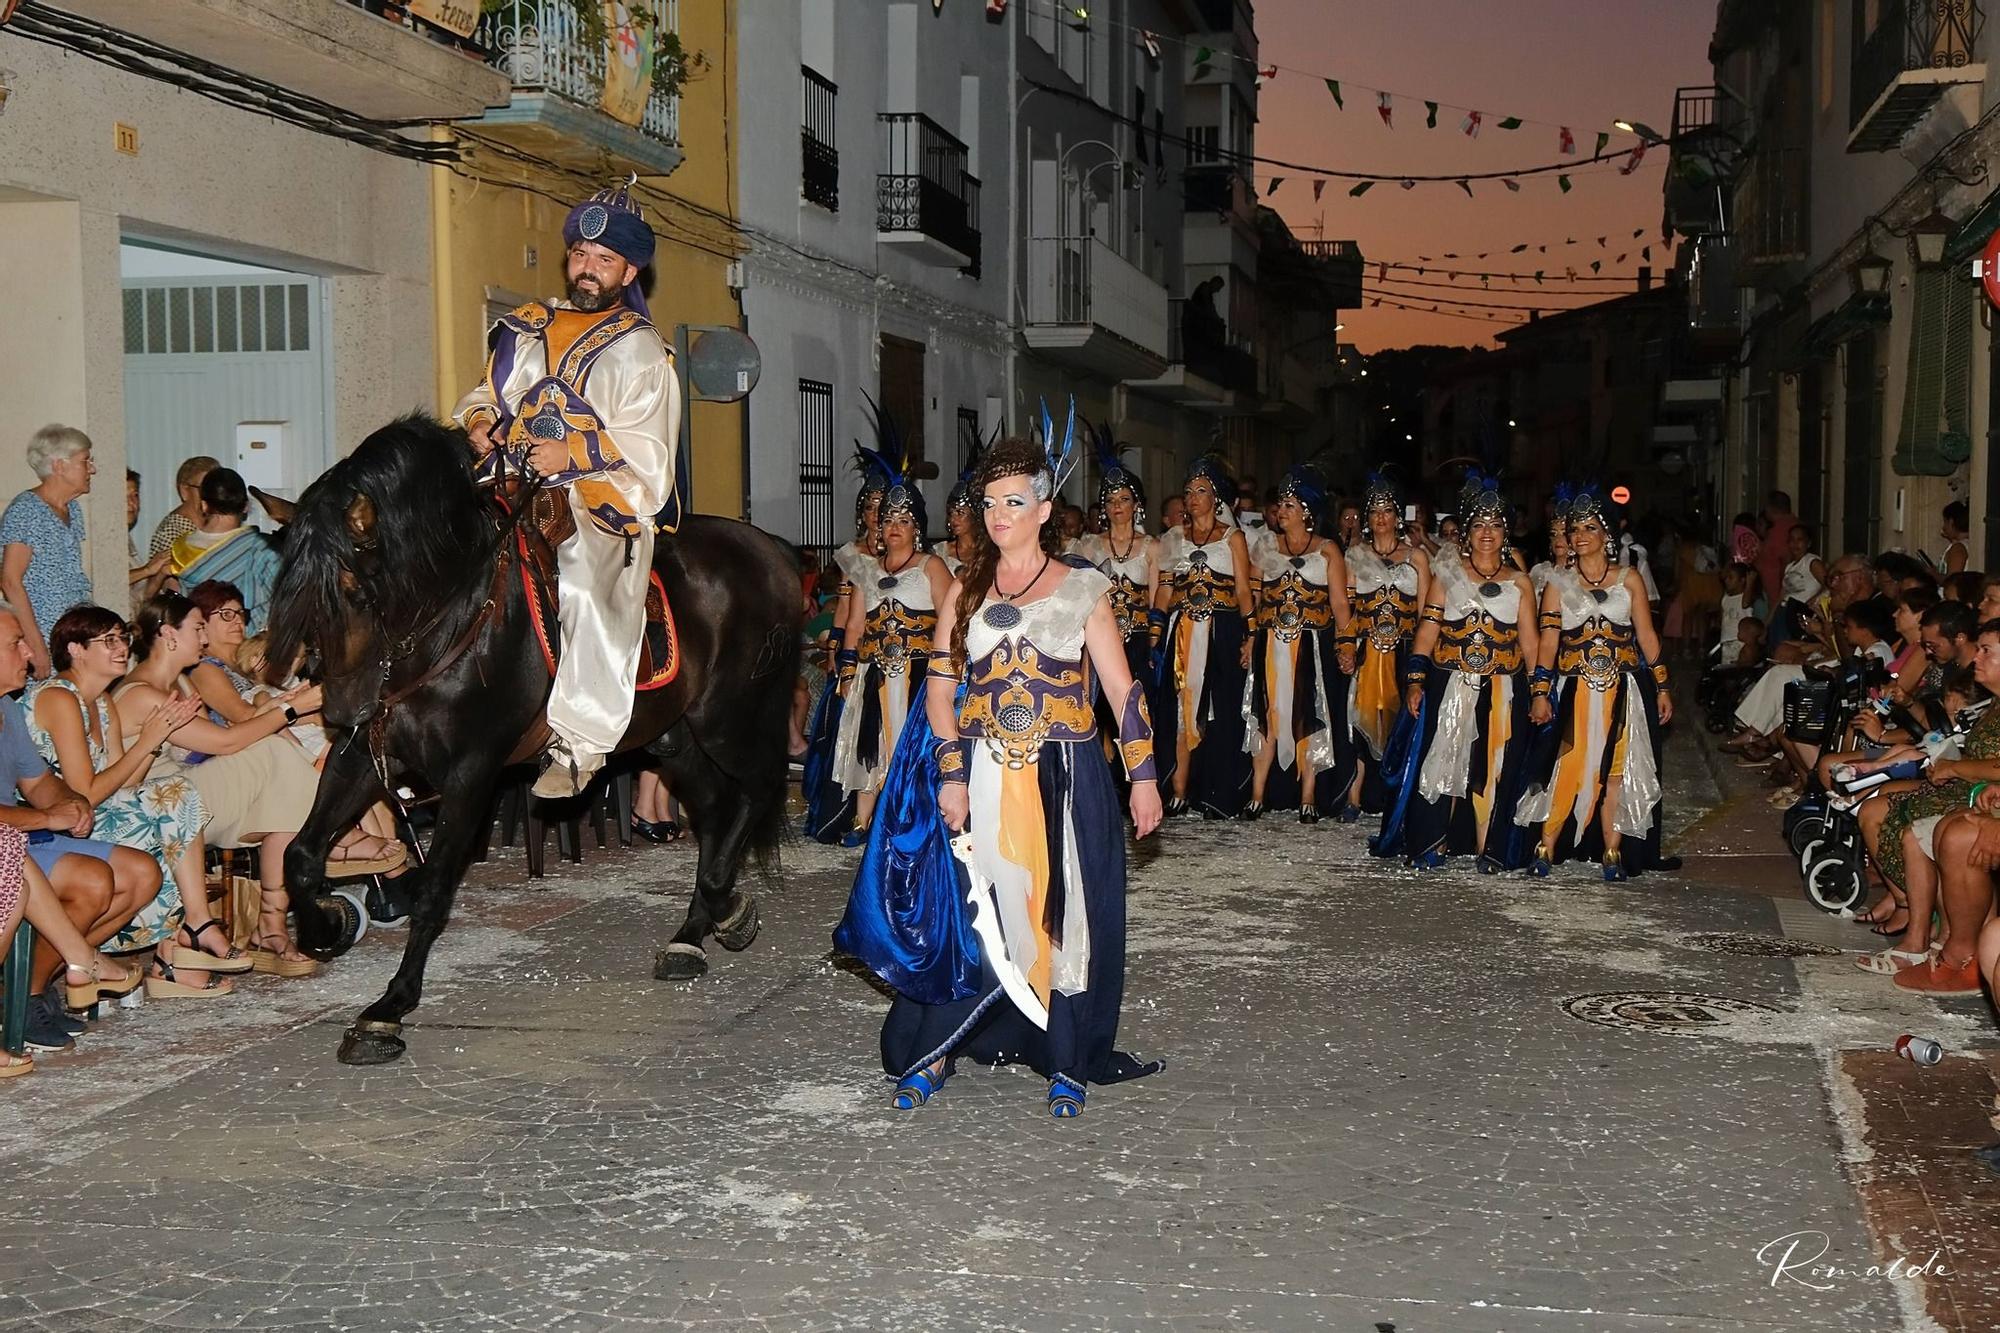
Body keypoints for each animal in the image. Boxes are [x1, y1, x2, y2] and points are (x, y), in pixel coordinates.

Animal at [266, 412, 804, 1056]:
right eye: (292, 595)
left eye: (357, 592)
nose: (343, 709)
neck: (450, 618)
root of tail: (772, 551)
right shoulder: (364, 758)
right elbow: (299, 853)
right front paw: (325, 923)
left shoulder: (471, 772)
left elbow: (432, 887)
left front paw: (389, 1006)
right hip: (670, 736)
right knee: (718, 804)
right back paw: (697, 930)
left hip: (727, 719)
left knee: (759, 786)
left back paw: (722, 906)